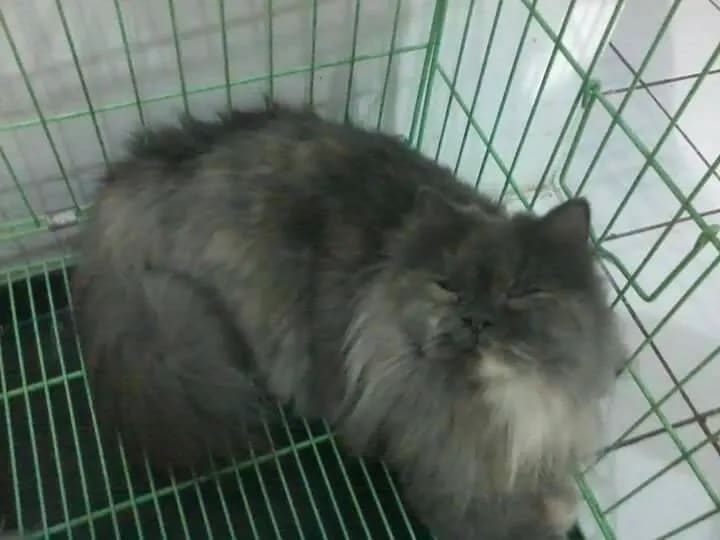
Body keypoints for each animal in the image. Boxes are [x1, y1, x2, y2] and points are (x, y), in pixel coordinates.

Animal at [72, 103, 623, 539]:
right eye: (448, 286)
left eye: (521, 292)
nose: (476, 320)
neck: (499, 402)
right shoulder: (437, 467)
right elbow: (497, 520)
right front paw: (549, 513)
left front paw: (558, 495)